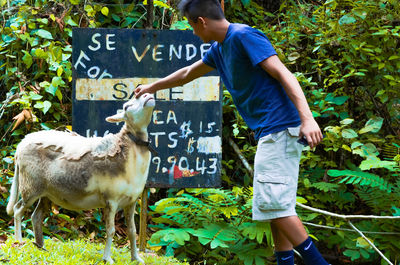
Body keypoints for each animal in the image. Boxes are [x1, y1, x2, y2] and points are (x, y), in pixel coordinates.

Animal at [6, 92, 156, 262]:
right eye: (126, 107)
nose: (147, 94)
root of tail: (20, 145)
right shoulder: (111, 200)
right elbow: (110, 230)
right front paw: (107, 259)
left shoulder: (131, 201)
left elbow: (132, 230)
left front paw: (136, 258)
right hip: (30, 187)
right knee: (18, 210)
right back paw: (19, 242)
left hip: (46, 193)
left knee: (36, 216)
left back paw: (41, 247)